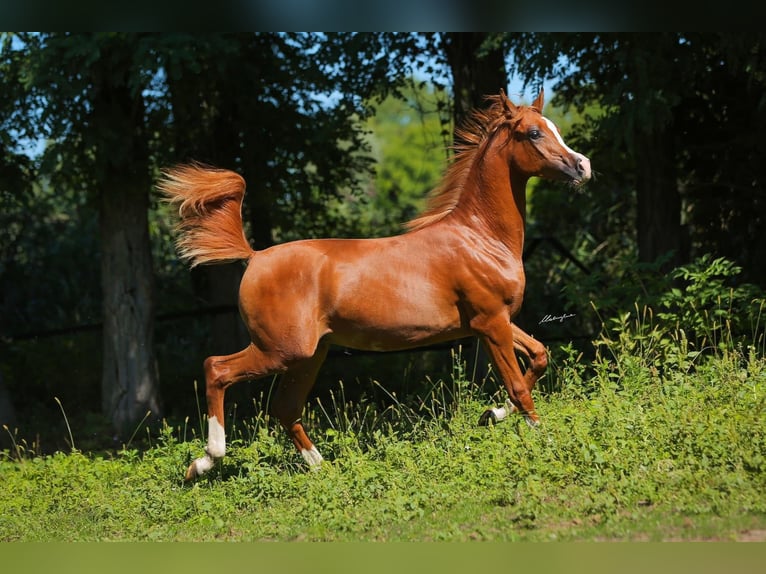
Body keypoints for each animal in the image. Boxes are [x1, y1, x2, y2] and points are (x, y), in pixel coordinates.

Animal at [158, 88, 592, 480]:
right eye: (534, 133)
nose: (583, 166)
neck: (480, 238)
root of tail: (255, 256)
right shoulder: (490, 322)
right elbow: (519, 386)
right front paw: (545, 440)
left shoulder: (491, 323)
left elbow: (539, 357)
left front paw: (491, 413)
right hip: (280, 350)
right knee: (216, 369)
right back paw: (204, 462)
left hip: (308, 355)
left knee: (284, 408)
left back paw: (322, 468)